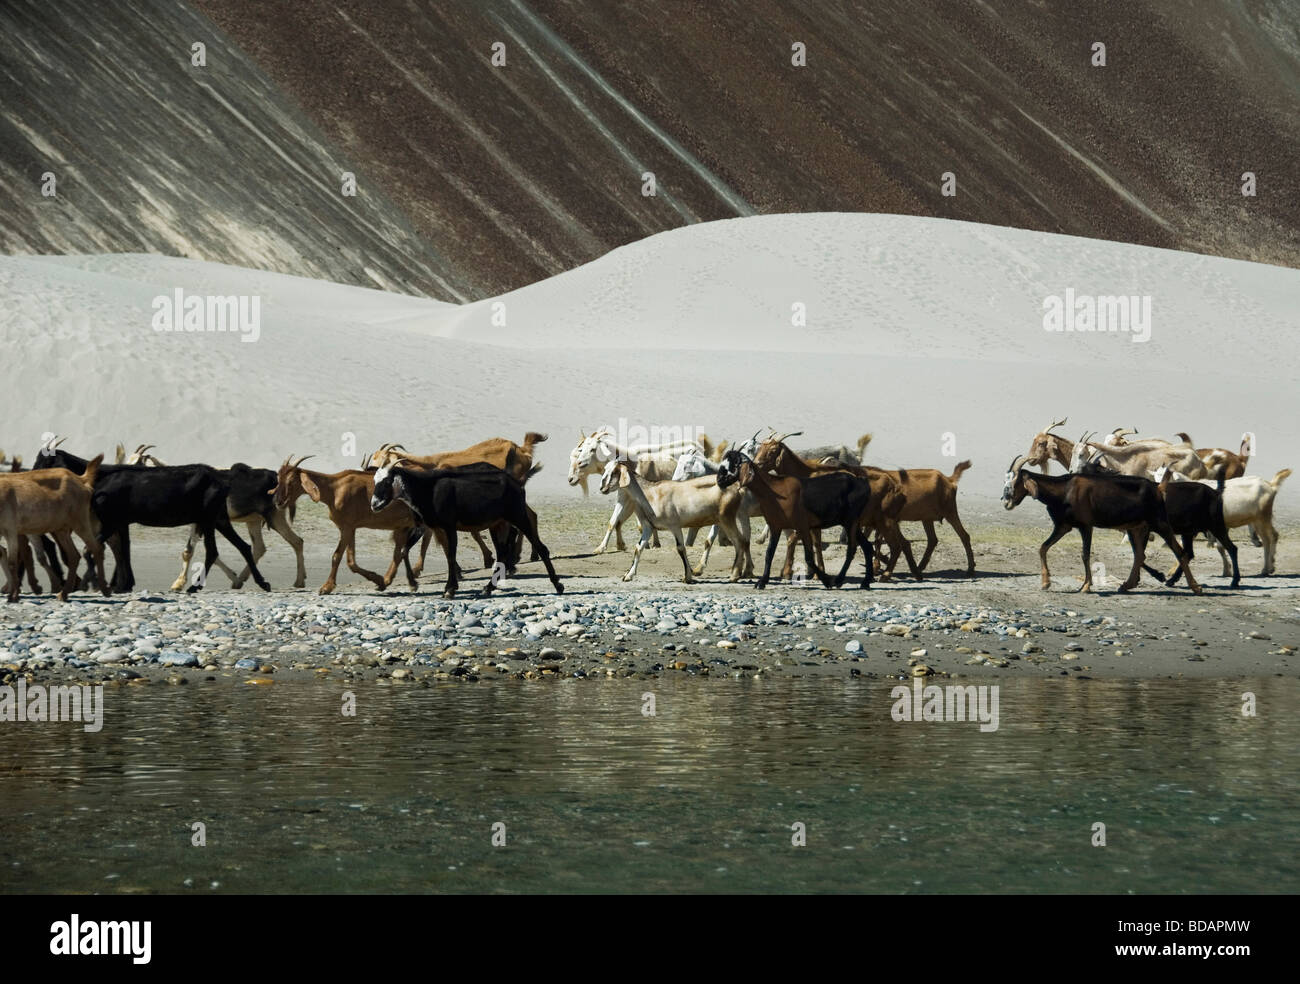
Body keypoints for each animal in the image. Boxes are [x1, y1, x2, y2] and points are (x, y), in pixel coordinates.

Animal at [0, 457, 110, 603]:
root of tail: (81, 480)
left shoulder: (11, 530)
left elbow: (12, 562)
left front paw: (13, 596)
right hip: (61, 529)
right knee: (74, 555)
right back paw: (63, 593)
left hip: (80, 521)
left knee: (96, 548)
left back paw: (104, 589)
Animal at [371, 462, 564, 597]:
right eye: (374, 480)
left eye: (387, 481)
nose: (374, 504)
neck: (427, 488)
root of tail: (517, 483)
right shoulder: (428, 526)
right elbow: (405, 549)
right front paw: (414, 584)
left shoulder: (449, 526)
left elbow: (450, 555)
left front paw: (449, 590)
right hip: (497, 524)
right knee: (502, 553)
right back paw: (488, 588)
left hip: (518, 516)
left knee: (541, 547)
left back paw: (558, 585)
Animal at [598, 457, 754, 579]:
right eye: (605, 469)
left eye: (614, 472)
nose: (602, 488)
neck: (650, 494)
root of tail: (738, 488)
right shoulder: (649, 526)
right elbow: (638, 548)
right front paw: (628, 575)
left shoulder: (675, 526)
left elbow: (680, 548)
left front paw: (688, 576)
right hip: (726, 520)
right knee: (740, 541)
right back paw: (739, 573)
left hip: (727, 519)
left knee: (740, 541)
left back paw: (736, 574)